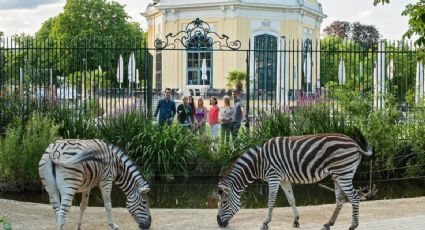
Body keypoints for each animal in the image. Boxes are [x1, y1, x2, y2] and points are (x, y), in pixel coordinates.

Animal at [217, 132, 370, 229]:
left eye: (223, 202)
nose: (218, 222)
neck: (259, 163)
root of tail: (355, 144)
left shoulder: (273, 177)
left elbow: (271, 200)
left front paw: (265, 222)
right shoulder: (283, 179)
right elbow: (291, 199)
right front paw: (296, 220)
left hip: (343, 173)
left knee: (354, 197)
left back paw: (353, 225)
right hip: (338, 175)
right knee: (340, 199)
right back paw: (328, 224)